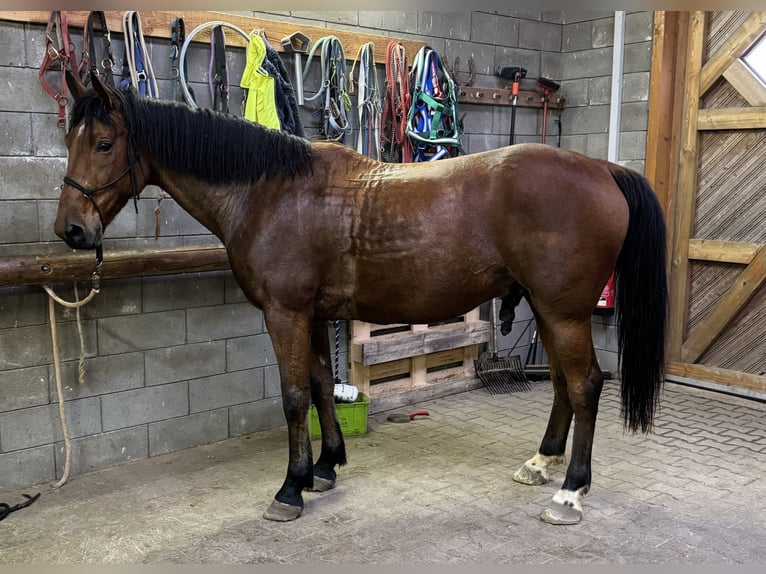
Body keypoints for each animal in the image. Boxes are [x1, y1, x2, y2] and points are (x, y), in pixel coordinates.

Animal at [55, 72, 664, 528]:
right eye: (70, 141)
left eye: (104, 144)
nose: (72, 230)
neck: (270, 192)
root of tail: (604, 169)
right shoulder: (313, 315)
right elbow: (324, 385)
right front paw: (325, 467)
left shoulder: (284, 314)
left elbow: (294, 396)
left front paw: (290, 489)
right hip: (548, 308)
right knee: (562, 383)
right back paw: (541, 464)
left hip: (562, 311)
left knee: (585, 386)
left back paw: (569, 492)